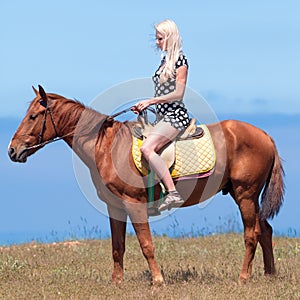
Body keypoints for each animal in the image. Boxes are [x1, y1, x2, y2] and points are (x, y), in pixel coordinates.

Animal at [7, 86, 284, 284]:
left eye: (33, 116)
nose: (12, 150)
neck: (107, 146)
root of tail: (265, 135)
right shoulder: (115, 207)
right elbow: (117, 246)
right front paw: (117, 282)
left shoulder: (134, 204)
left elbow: (146, 244)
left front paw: (158, 280)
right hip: (247, 197)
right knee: (266, 230)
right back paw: (269, 274)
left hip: (245, 195)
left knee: (252, 234)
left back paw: (244, 277)